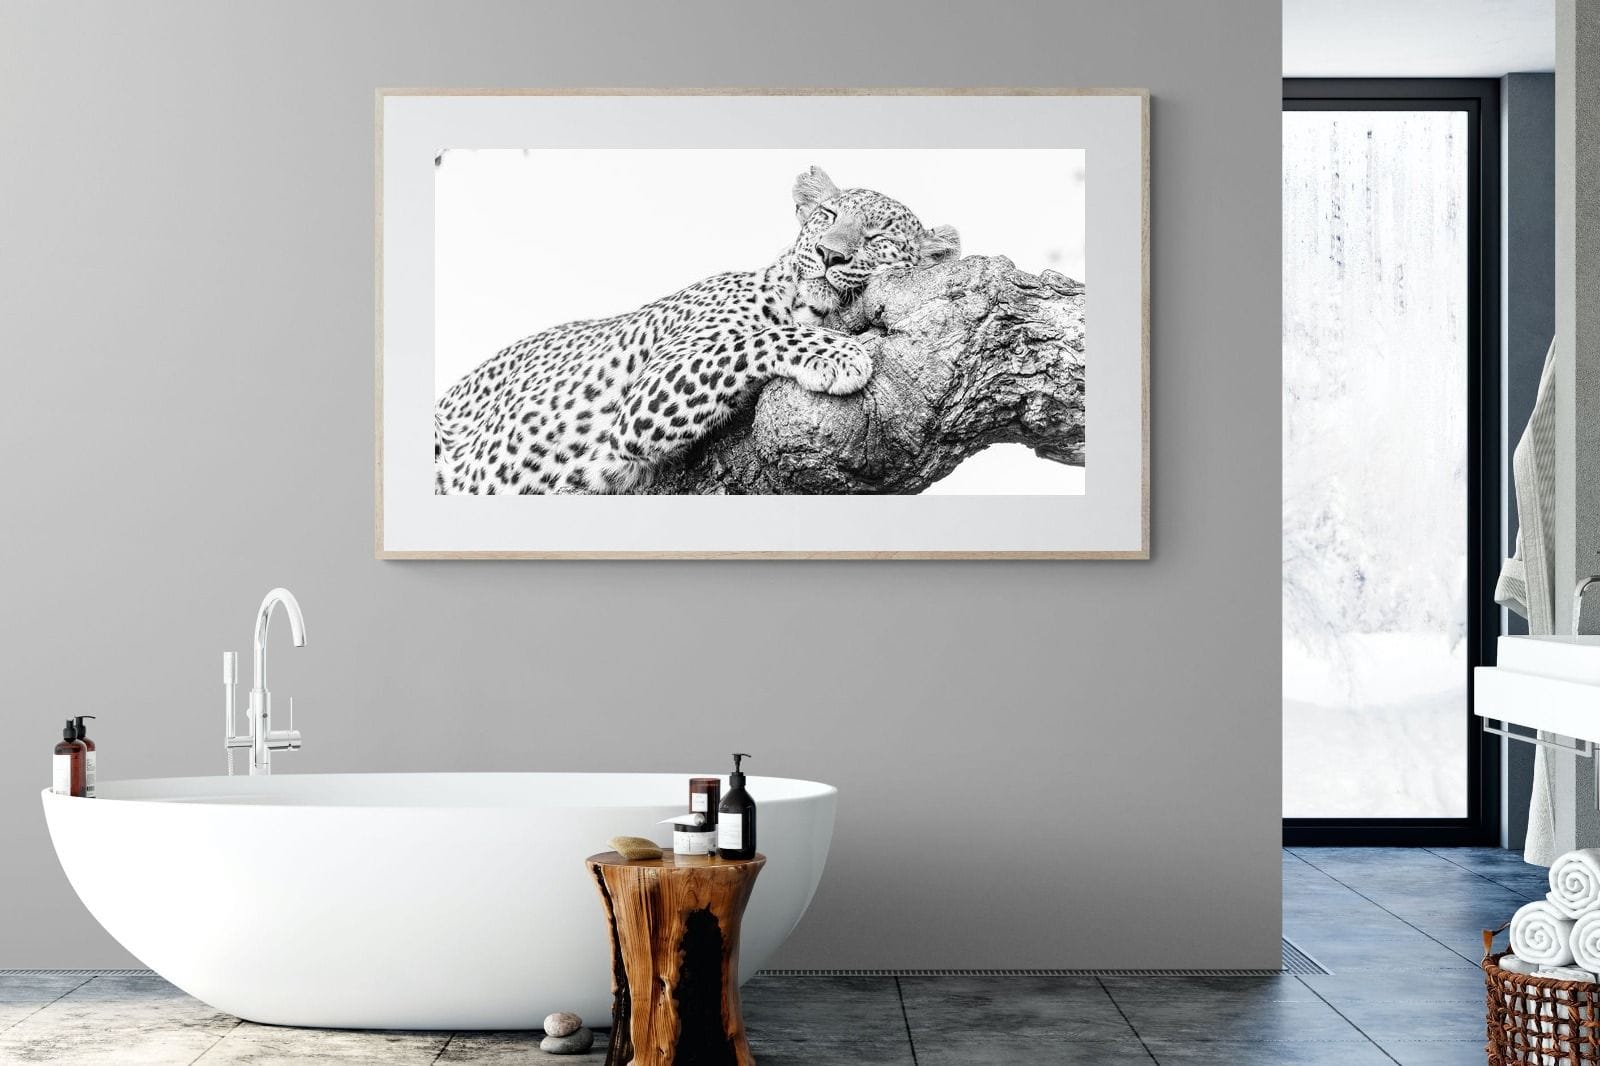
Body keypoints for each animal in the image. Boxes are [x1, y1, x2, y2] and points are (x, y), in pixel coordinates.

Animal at [433, 165, 960, 494]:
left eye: (877, 238)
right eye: (827, 216)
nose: (830, 254)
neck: (802, 303)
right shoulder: (643, 399)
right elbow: (751, 340)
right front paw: (840, 354)